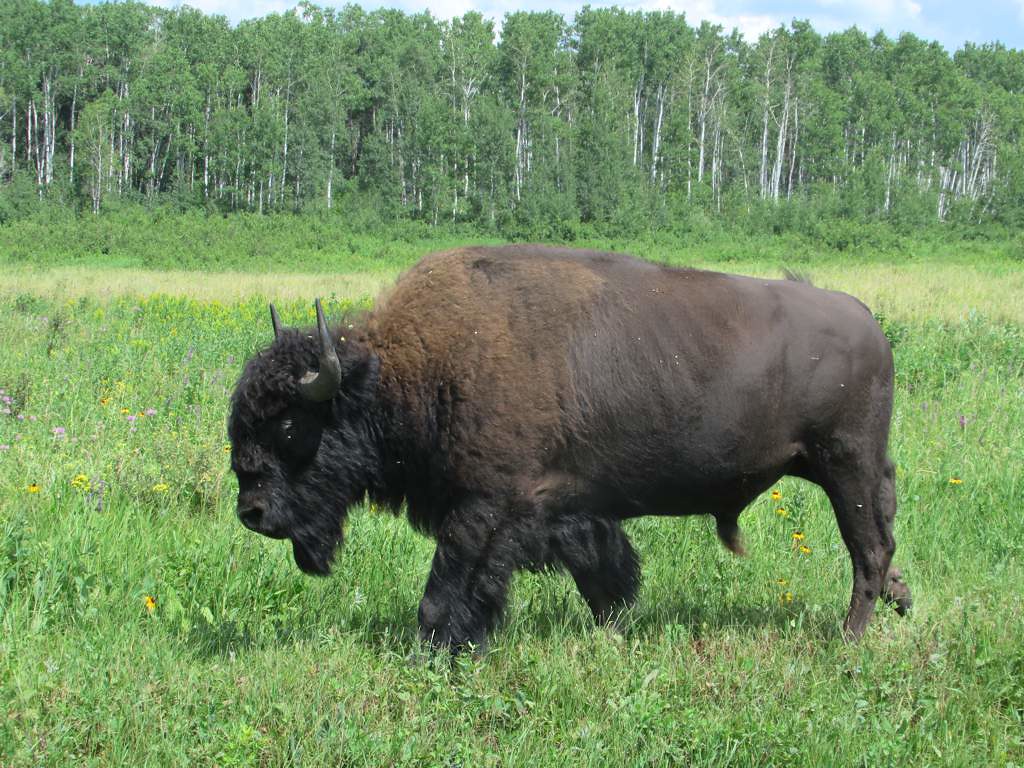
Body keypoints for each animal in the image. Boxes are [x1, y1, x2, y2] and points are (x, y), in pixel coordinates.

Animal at [228, 245, 912, 650]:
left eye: (288, 428)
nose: (252, 512)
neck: (406, 371)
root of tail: (870, 324)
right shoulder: (568, 512)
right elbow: (601, 575)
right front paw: (615, 627)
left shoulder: (485, 508)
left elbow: (444, 593)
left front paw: (438, 649)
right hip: (848, 469)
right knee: (884, 537)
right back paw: (897, 601)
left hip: (844, 466)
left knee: (868, 550)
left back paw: (848, 639)